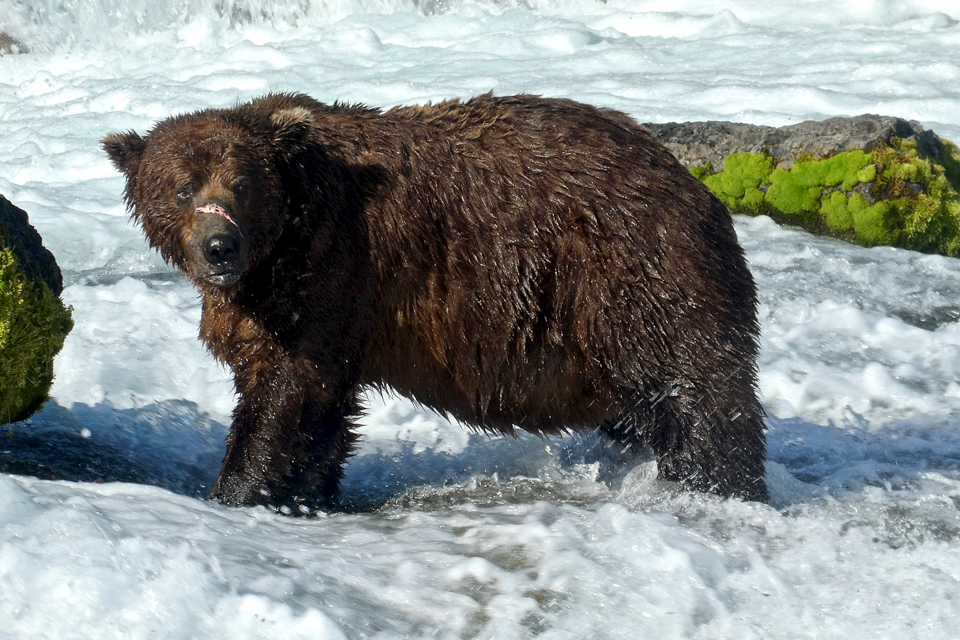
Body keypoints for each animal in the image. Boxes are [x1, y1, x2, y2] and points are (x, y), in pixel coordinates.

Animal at [102, 92, 767, 510]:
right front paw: (307, 492)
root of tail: (695, 185)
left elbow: (285, 395)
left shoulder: (330, 269)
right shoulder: (315, 308)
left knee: (700, 397)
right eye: (181, 188)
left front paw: (236, 490)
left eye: (242, 184)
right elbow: (319, 410)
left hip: (635, 279)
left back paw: (722, 487)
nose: (220, 247)